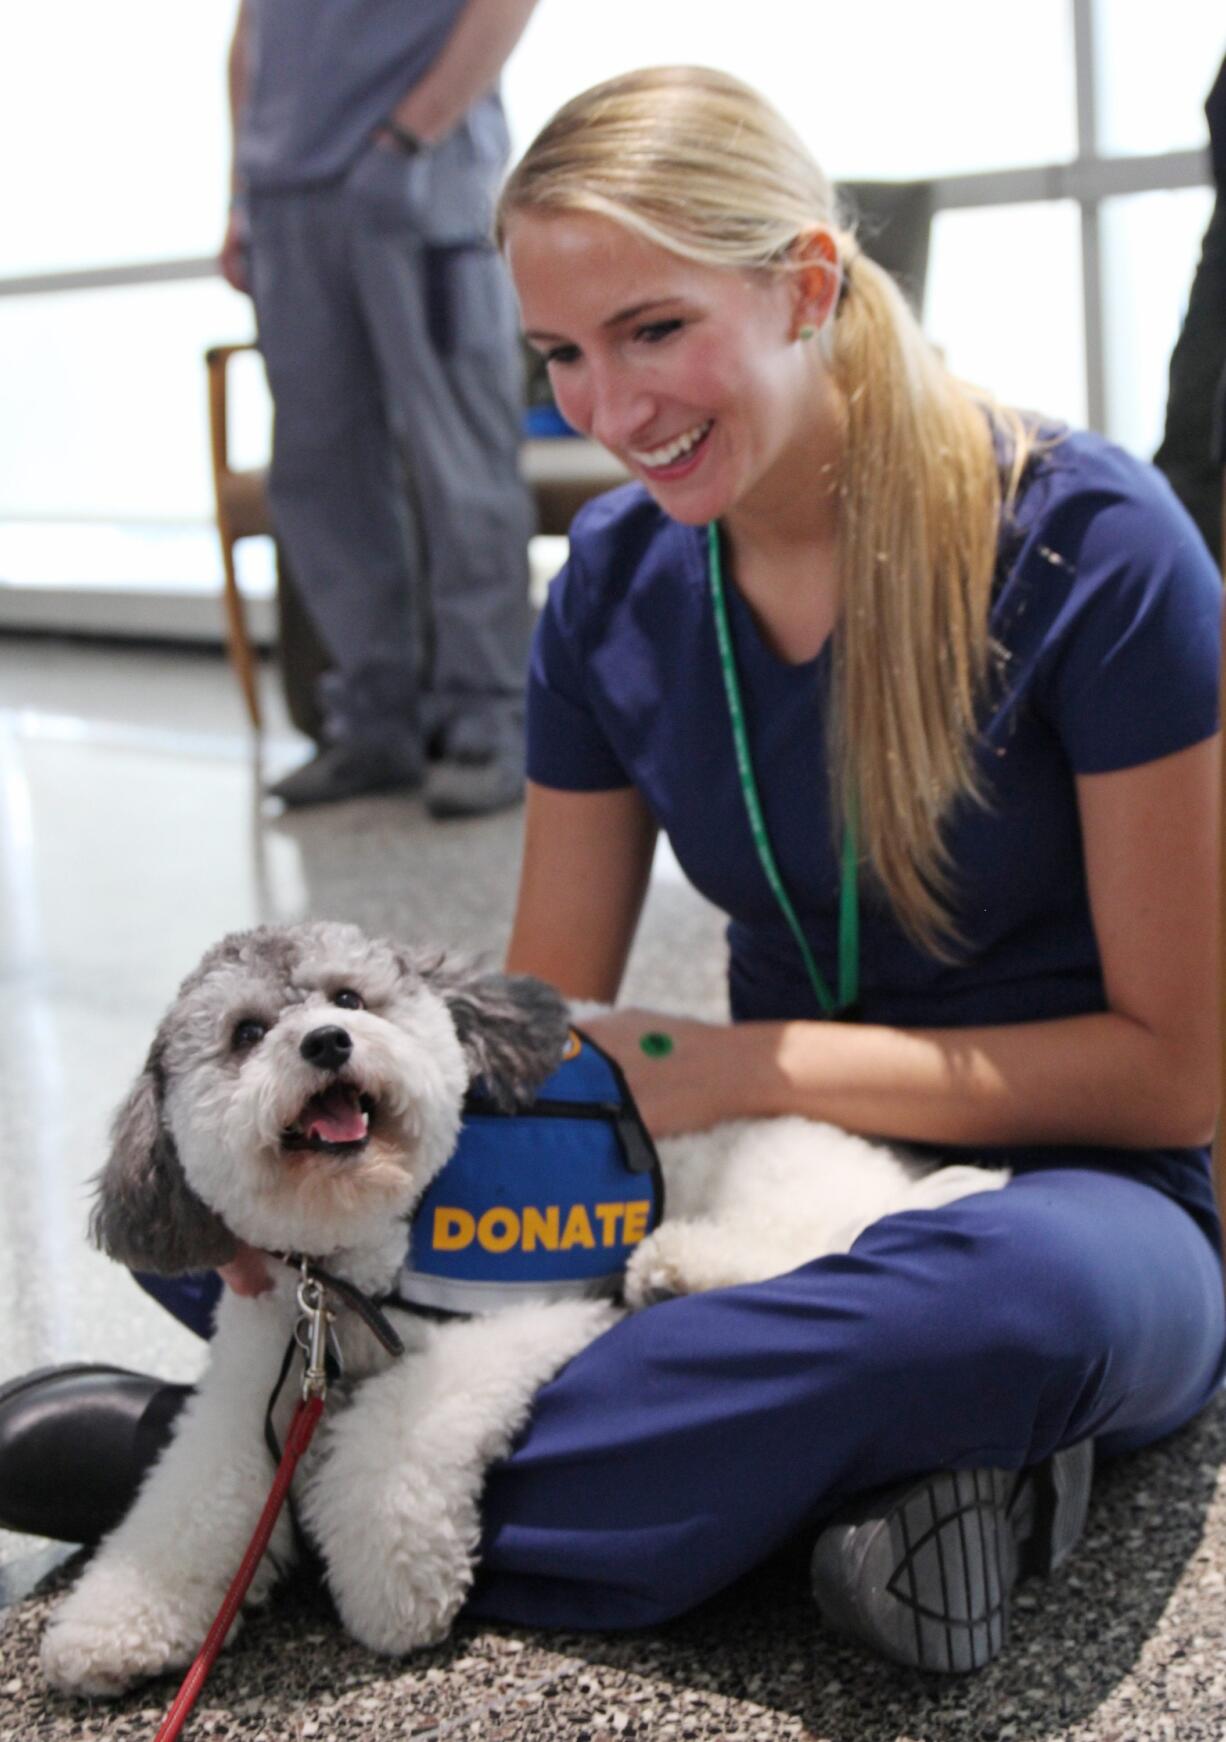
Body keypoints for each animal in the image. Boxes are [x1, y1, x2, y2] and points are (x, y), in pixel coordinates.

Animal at [43, 919, 1010, 1693]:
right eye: (246, 1032)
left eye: (349, 996)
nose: (325, 1041)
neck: (354, 1262)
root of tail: (891, 1170)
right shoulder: (255, 1374)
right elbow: (191, 1495)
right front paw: (115, 1623)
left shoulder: (517, 1320)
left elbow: (391, 1443)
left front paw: (391, 1585)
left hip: (774, 1184)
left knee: (817, 1242)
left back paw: (680, 1270)